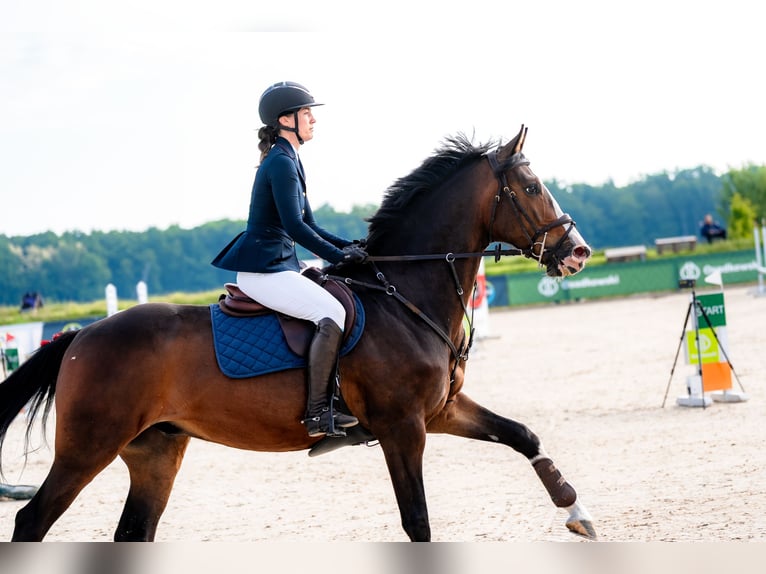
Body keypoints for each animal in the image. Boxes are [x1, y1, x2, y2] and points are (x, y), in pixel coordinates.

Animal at [0, 125, 595, 542]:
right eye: (532, 187)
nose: (579, 252)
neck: (403, 295)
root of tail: (80, 337)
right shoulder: (403, 427)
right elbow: (418, 521)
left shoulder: (441, 412)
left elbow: (523, 435)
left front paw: (578, 511)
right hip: (88, 447)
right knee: (31, 521)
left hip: (155, 451)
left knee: (133, 531)